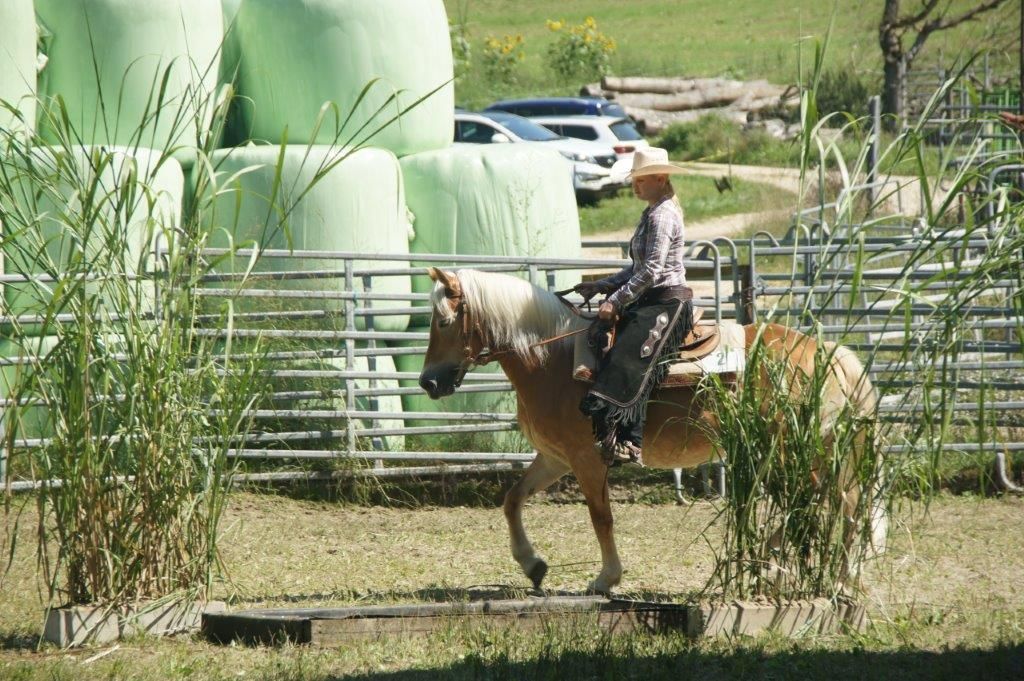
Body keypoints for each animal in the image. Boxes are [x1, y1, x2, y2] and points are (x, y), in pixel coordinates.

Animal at [418, 267, 883, 594]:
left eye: (442, 321)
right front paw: (533, 565)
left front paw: (606, 578)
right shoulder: (555, 457)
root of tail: (828, 353)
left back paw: (832, 575)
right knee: (826, 503)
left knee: (837, 502)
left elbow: (601, 517)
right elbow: (512, 500)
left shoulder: (587, 459)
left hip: (795, 451)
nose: (427, 383)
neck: (552, 359)